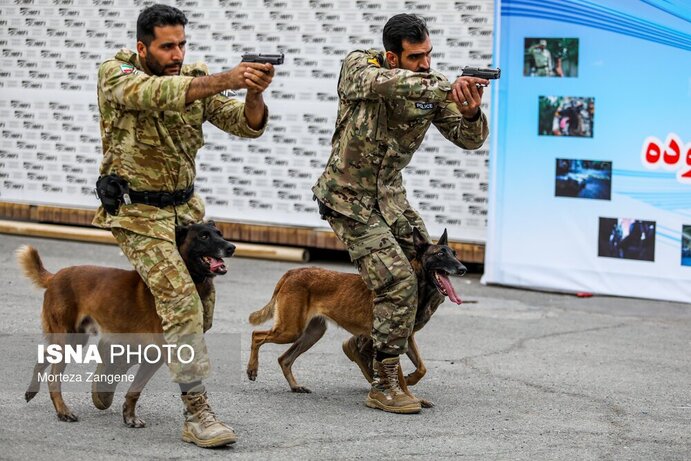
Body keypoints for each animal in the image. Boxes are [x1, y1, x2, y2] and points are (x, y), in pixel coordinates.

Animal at [18, 221, 235, 426]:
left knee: (44, 357)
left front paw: (129, 416)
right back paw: (63, 411)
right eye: (204, 236)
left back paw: (32, 390)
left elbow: (135, 389)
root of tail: (54, 277)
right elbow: (142, 386)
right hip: (67, 339)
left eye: (219, 234)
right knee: (53, 378)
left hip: (76, 339)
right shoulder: (167, 352)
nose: (231, 247)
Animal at [246, 227, 468, 402]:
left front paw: (411, 381)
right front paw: (407, 397)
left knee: (284, 359)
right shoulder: (391, 340)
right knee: (257, 336)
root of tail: (292, 272)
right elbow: (398, 374)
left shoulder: (407, 338)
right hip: (291, 330)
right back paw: (252, 369)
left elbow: (422, 368)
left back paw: (295, 386)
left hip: (312, 333)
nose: (463, 268)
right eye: (440, 254)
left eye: (454, 253)